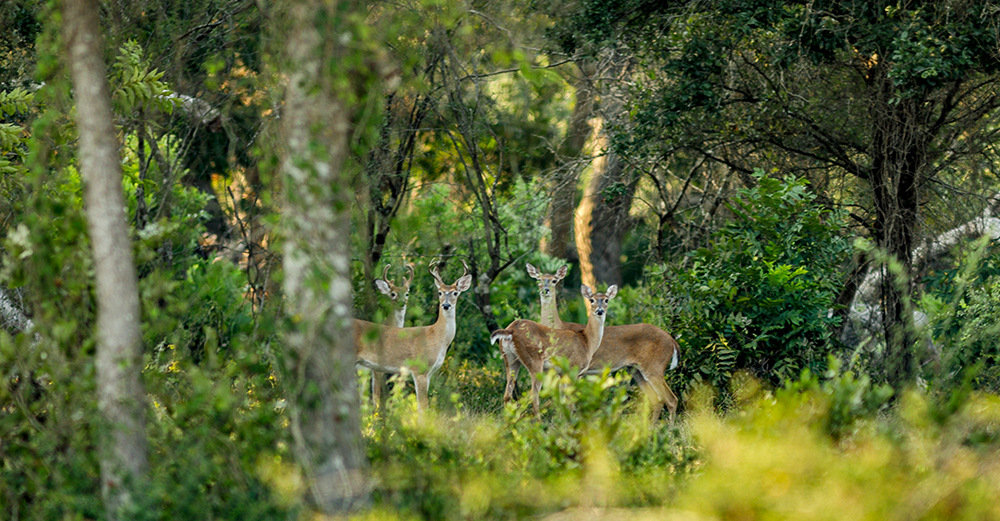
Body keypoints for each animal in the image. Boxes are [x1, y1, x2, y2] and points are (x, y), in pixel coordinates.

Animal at [492, 282, 616, 412]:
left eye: (606, 299)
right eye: (591, 300)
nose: (600, 311)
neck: (587, 341)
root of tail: (510, 330)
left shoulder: (562, 373)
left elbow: (563, 401)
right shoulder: (574, 369)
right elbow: (570, 402)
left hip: (510, 359)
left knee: (507, 395)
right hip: (534, 360)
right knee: (533, 396)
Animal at [524, 262, 680, 420]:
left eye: (554, 280)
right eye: (538, 279)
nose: (545, 290)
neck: (557, 326)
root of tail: (672, 340)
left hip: (655, 366)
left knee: (671, 399)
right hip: (636, 369)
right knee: (657, 400)